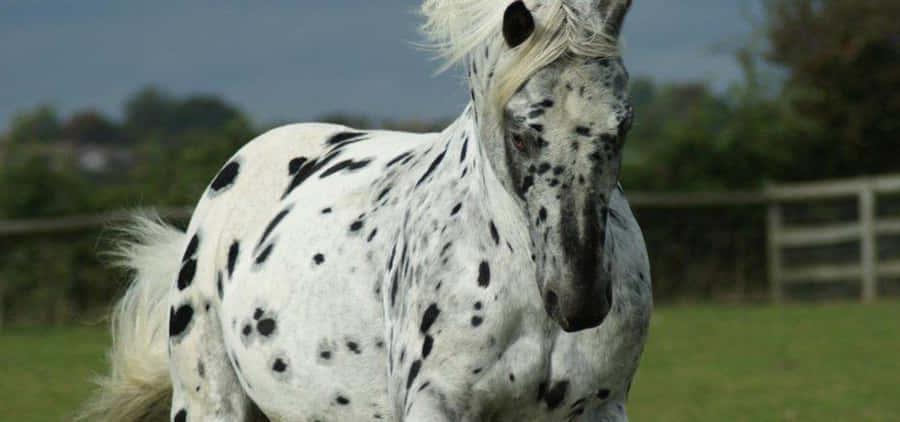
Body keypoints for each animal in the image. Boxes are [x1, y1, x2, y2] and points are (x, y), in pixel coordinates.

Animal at [80, 1, 652, 421]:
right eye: (520, 133)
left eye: (623, 125)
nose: (578, 299)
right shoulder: (435, 405)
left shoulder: (600, 409)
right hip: (209, 403)